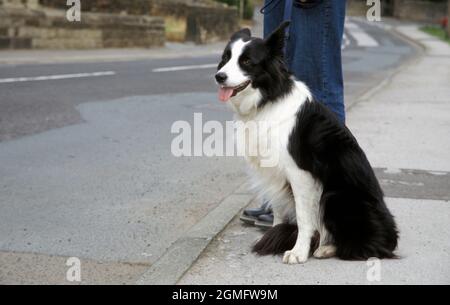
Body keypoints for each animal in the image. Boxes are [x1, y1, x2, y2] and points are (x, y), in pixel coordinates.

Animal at [216, 22, 400, 262]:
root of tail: (391, 239)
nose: (219, 76)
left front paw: (299, 252)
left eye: (246, 61)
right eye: (226, 57)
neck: (269, 98)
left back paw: (328, 248)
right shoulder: (274, 172)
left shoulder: (301, 174)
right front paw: (276, 233)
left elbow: (304, 218)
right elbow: (279, 211)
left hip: (335, 195)